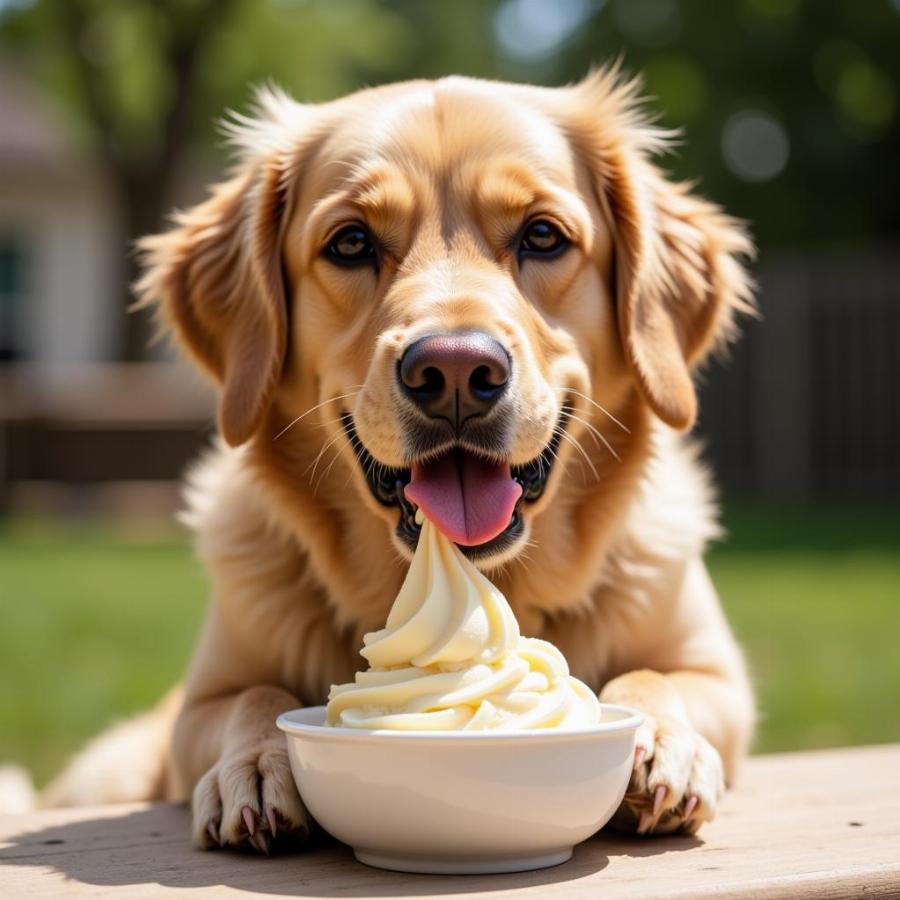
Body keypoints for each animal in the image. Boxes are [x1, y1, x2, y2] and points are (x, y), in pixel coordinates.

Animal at [45, 70, 756, 852]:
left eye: (543, 235)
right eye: (351, 242)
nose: (456, 372)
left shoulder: (719, 678)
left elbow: (655, 676)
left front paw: (664, 742)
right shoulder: (199, 704)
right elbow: (256, 696)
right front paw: (257, 766)